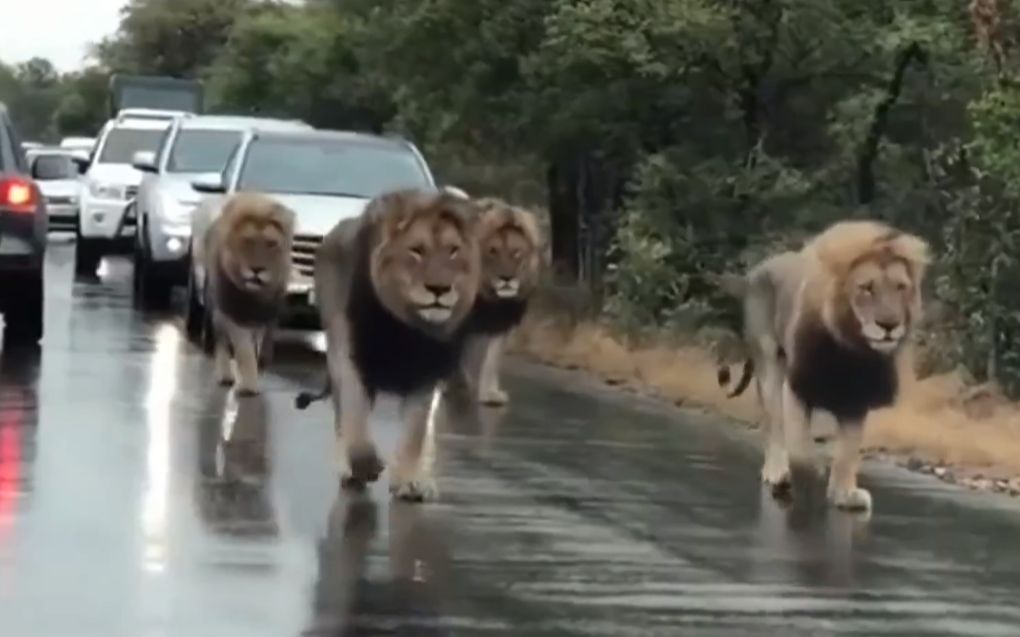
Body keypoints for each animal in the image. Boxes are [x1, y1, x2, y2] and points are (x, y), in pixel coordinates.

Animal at [200, 191, 293, 395]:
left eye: (271, 243)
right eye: (247, 241)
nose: (257, 270)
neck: (254, 296)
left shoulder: (262, 319)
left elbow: (255, 349)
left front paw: (250, 378)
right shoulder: (233, 316)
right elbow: (244, 351)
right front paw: (249, 385)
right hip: (217, 312)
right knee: (222, 343)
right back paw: (226, 376)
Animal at [308, 187, 479, 501]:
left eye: (452, 250)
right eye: (416, 250)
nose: (439, 289)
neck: (408, 327)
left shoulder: (426, 375)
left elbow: (416, 431)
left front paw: (410, 481)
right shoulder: (351, 358)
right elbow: (354, 417)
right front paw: (364, 465)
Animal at [714, 221, 930, 509]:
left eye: (900, 287)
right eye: (867, 288)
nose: (889, 325)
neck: (851, 350)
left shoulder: (856, 402)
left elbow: (848, 453)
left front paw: (844, 494)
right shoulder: (797, 388)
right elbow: (801, 451)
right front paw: (807, 479)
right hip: (770, 362)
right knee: (773, 425)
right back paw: (776, 473)